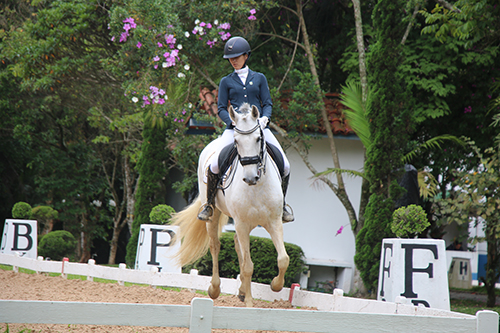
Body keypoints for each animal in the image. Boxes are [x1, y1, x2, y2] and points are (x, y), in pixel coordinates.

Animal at [173, 102, 288, 306]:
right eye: (236, 142)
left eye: (258, 138)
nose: (250, 178)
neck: (257, 187)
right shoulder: (241, 223)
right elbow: (249, 266)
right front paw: (250, 303)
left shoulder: (274, 222)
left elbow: (283, 259)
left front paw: (275, 285)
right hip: (215, 214)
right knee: (215, 245)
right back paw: (214, 289)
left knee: (236, 244)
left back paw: (241, 290)